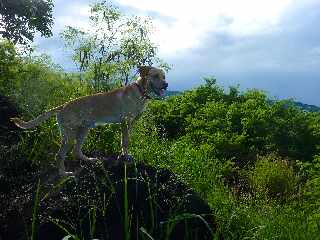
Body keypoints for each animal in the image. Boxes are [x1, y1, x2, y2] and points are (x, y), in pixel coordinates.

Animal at [11, 66, 169, 175]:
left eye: (164, 76)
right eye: (155, 76)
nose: (166, 84)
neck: (141, 92)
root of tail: (63, 106)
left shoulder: (131, 123)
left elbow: (126, 141)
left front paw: (125, 154)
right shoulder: (125, 122)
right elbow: (125, 141)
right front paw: (125, 156)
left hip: (83, 130)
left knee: (76, 151)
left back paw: (89, 160)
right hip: (69, 135)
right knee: (60, 155)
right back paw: (63, 174)